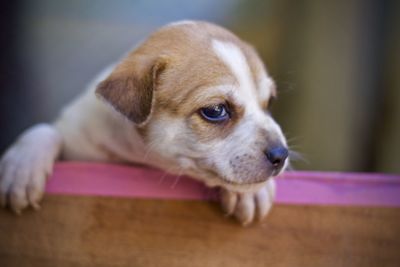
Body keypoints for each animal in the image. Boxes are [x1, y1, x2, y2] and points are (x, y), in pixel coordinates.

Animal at [0, 21, 288, 225]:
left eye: (269, 102)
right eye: (215, 110)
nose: (281, 155)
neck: (137, 156)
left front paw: (250, 193)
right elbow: (45, 130)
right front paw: (21, 168)